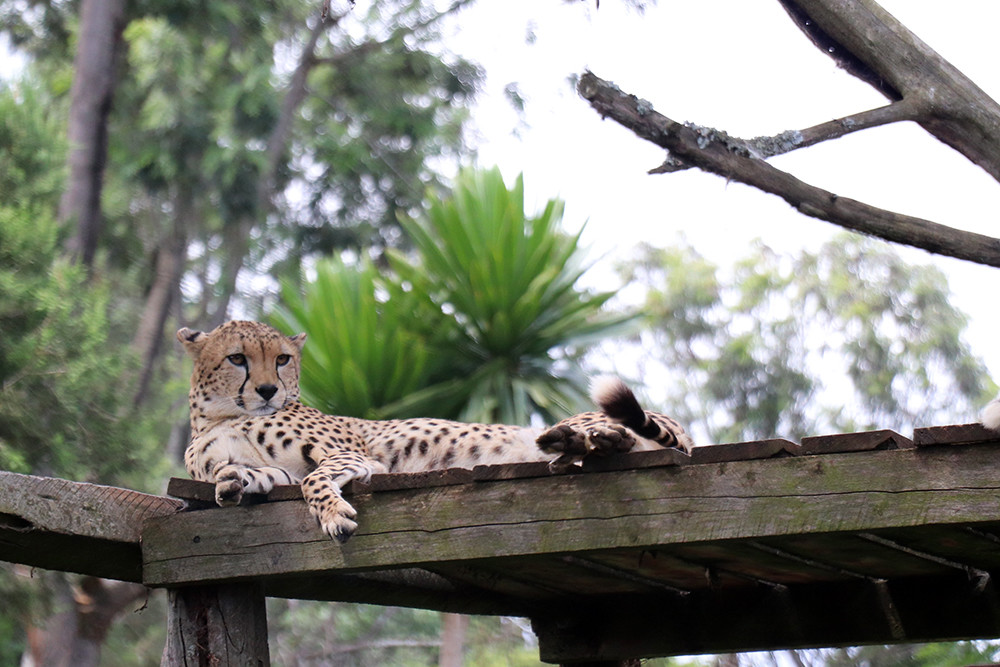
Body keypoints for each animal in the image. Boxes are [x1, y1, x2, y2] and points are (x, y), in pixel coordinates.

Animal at [177, 320, 692, 542]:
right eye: (237, 358)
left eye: (282, 359)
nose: (268, 390)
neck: (221, 416)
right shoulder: (273, 470)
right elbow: (254, 475)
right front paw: (232, 483)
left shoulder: (357, 456)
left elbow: (314, 479)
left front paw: (334, 516)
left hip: (595, 418)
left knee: (617, 436)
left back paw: (577, 441)